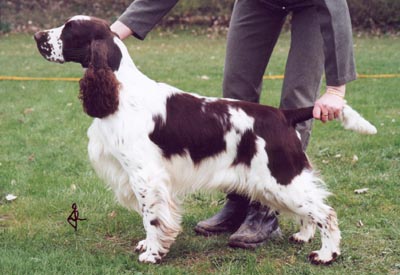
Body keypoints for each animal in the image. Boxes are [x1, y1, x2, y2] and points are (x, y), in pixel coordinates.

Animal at [34, 16, 378, 266]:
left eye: (68, 30)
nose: (37, 36)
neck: (120, 91)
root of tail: (283, 114)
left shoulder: (146, 176)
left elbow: (151, 217)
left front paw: (152, 253)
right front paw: (147, 245)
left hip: (281, 177)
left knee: (326, 213)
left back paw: (326, 254)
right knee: (311, 210)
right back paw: (304, 236)